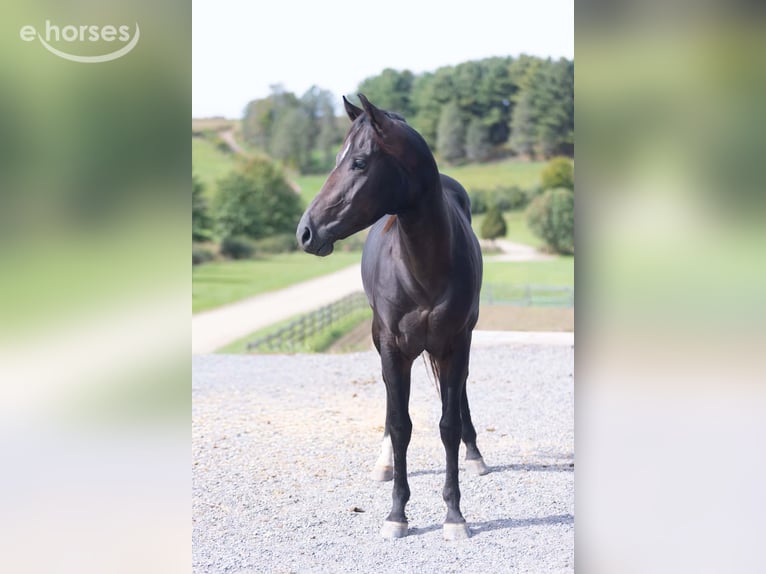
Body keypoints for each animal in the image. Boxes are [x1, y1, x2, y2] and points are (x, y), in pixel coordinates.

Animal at [296, 94, 488, 540]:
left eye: (359, 162)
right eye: (338, 157)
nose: (305, 231)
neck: (424, 267)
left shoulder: (456, 343)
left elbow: (448, 425)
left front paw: (454, 515)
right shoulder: (392, 347)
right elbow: (401, 425)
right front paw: (397, 513)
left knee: (459, 397)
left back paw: (475, 454)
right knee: (390, 403)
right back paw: (384, 463)